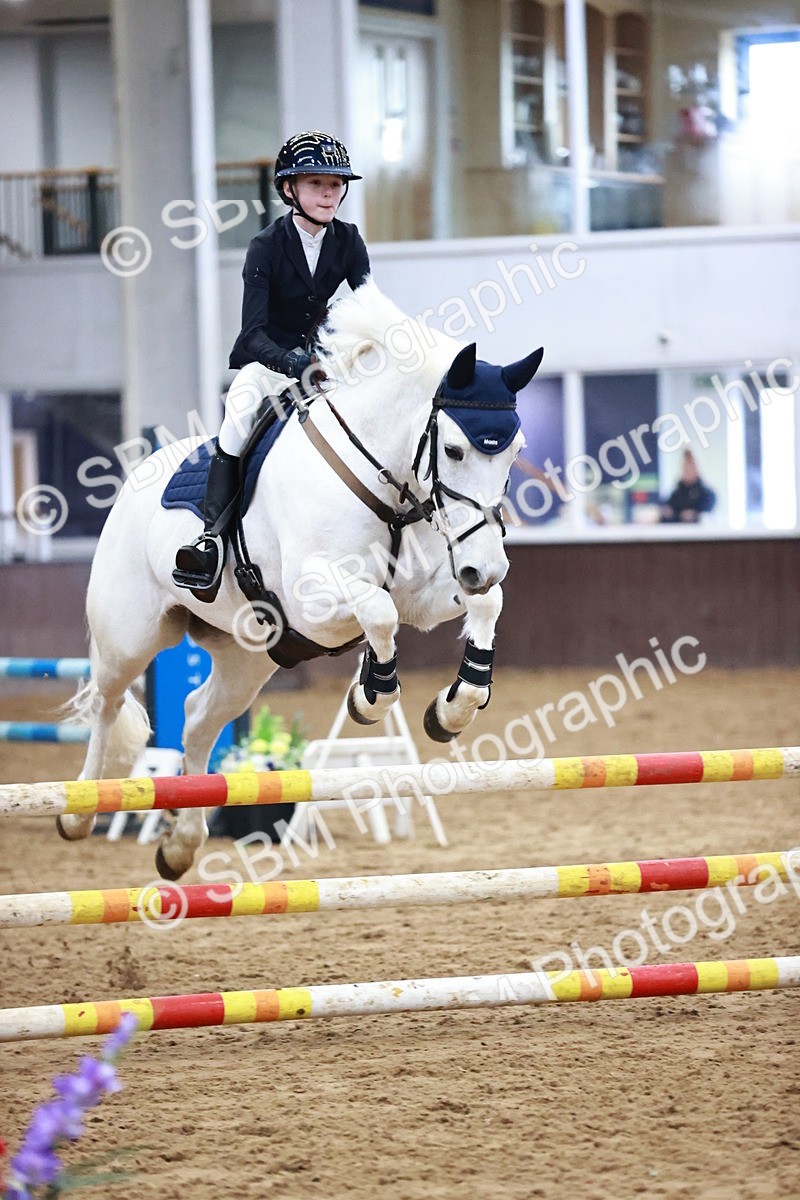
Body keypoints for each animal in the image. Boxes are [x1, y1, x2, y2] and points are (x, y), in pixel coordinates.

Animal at [58, 280, 543, 879]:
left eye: (515, 452)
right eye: (453, 450)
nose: (483, 564)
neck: (384, 483)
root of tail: (134, 480)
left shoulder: (425, 597)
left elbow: (483, 605)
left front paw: (453, 707)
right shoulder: (313, 601)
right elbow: (378, 610)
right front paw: (371, 696)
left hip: (247, 657)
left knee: (198, 719)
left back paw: (180, 846)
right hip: (130, 637)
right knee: (107, 705)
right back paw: (80, 811)